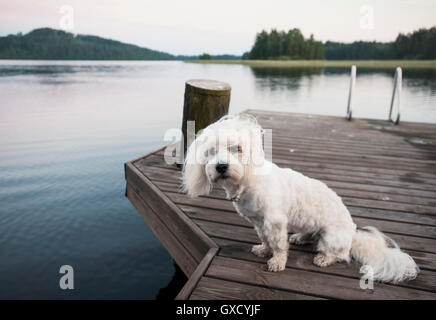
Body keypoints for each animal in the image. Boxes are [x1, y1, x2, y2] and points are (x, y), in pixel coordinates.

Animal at [181, 113, 418, 282]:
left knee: (340, 254)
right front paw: (264, 249)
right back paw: (300, 237)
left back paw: (323, 257)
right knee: (312, 236)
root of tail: (352, 232)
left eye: (237, 149)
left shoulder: (275, 221)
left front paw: (276, 262)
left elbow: (278, 244)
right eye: (210, 151)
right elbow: (265, 238)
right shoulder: (259, 222)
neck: (248, 180)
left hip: (331, 238)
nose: (221, 166)